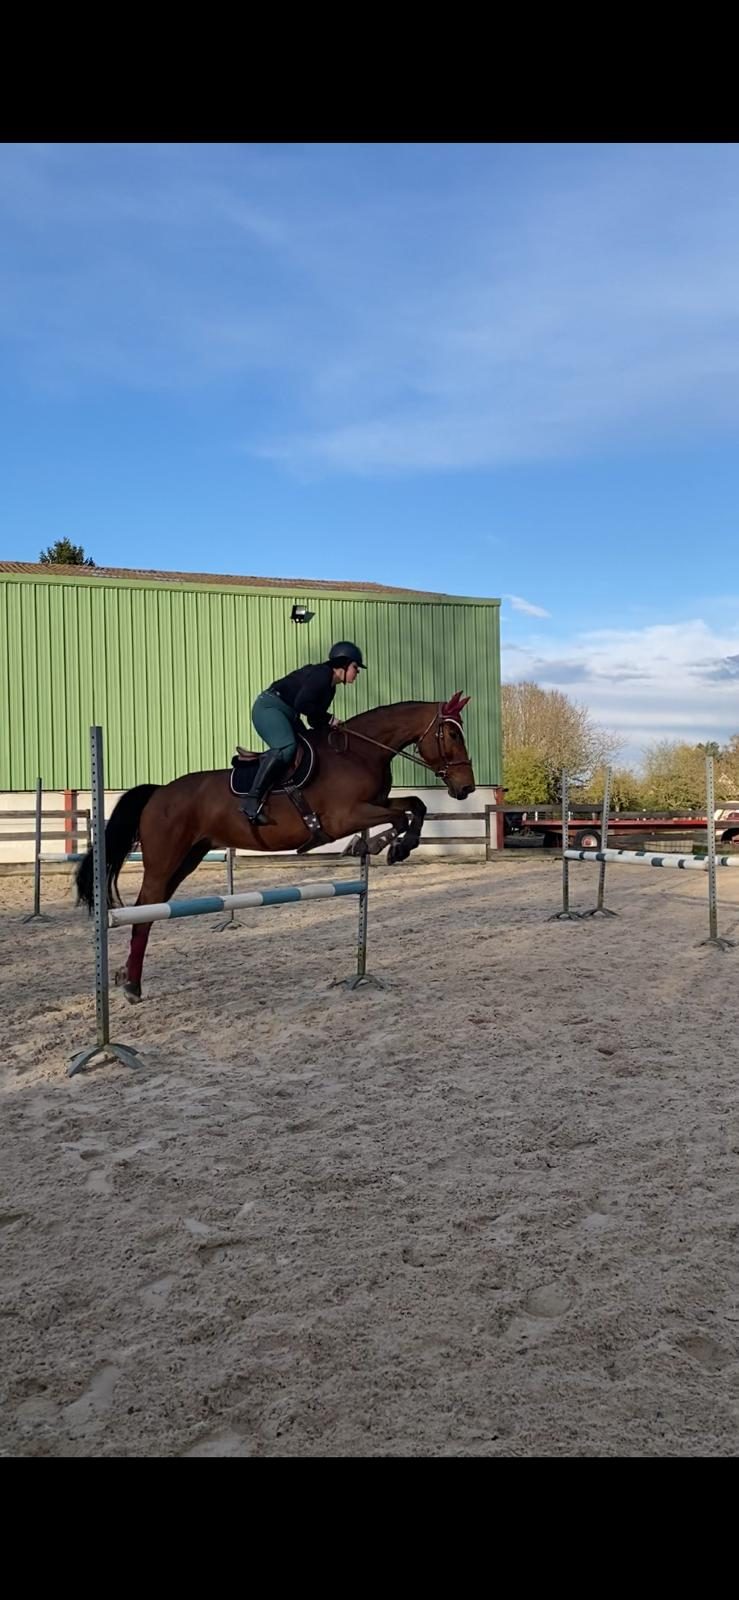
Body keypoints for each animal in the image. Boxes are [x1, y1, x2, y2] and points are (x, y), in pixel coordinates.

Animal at [75, 693, 475, 1001]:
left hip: (186, 859)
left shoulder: (372, 805)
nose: (466, 788)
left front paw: (385, 846)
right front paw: (387, 847)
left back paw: (128, 978)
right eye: (451, 734)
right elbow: (402, 817)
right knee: (143, 911)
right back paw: (131, 986)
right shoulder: (345, 817)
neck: (360, 752)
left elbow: (414, 806)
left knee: (149, 910)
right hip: (163, 862)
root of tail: (158, 792)